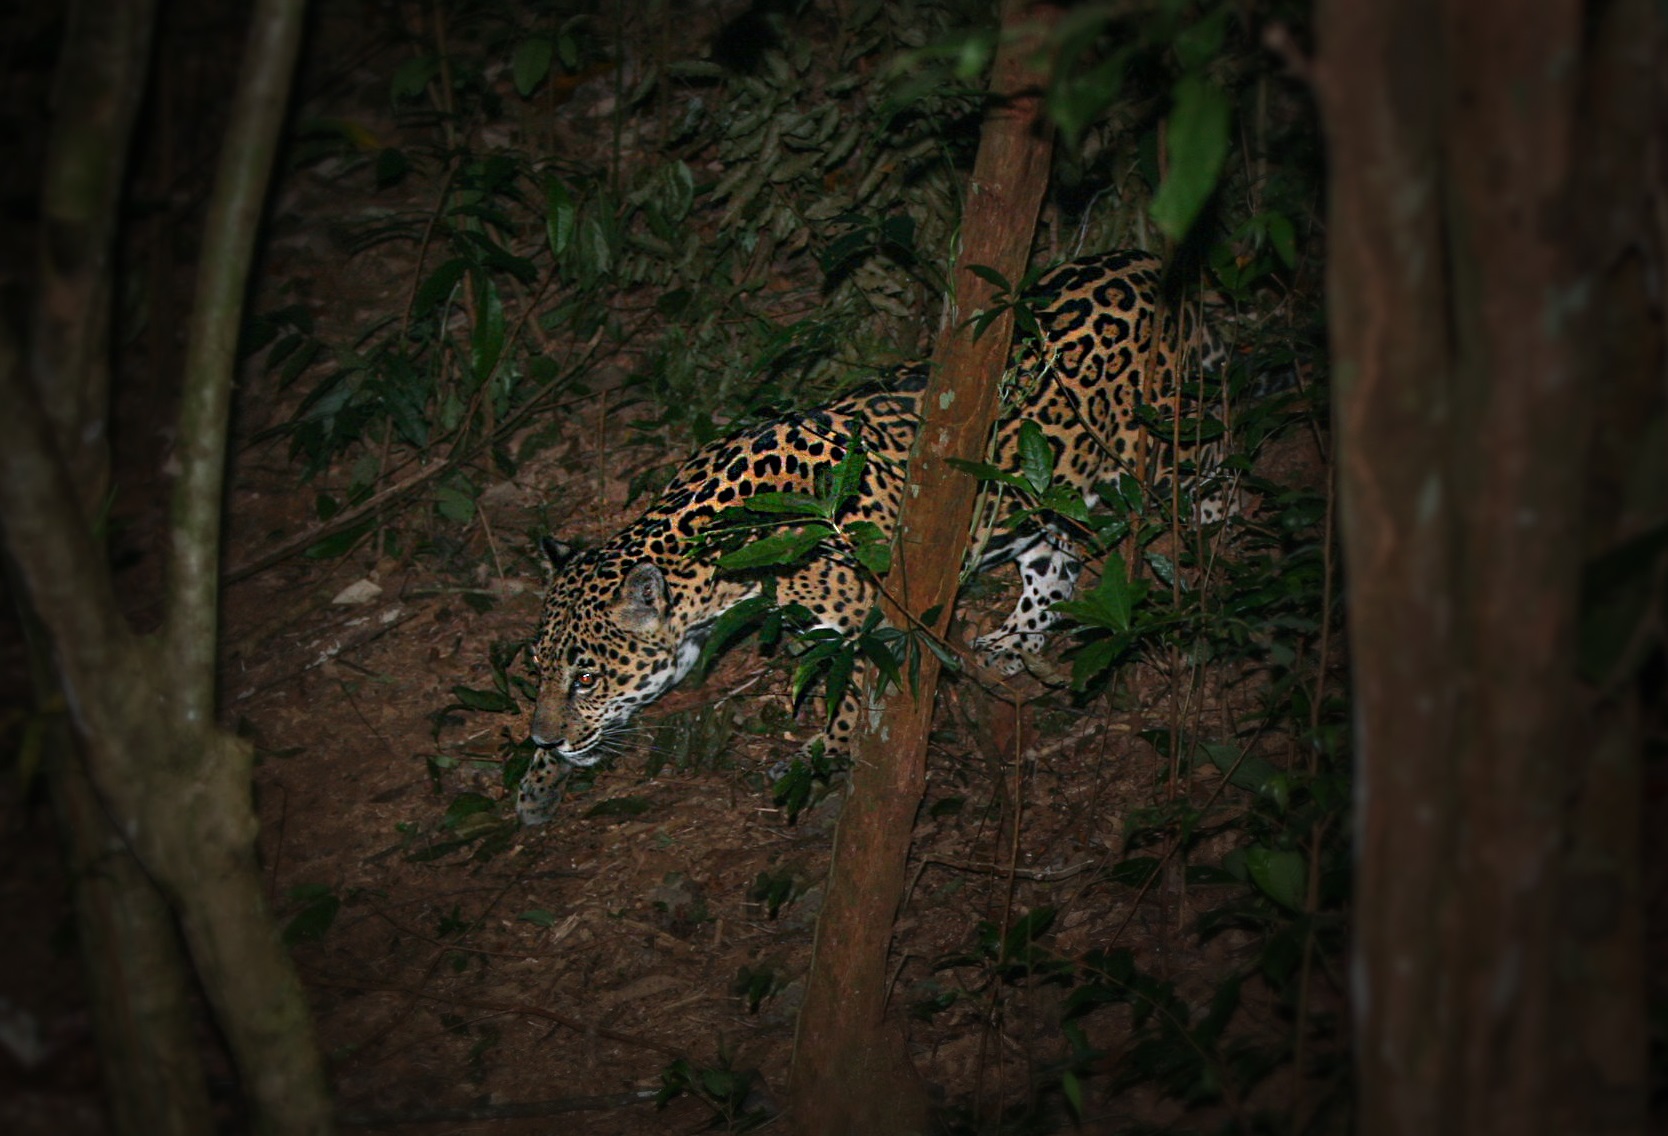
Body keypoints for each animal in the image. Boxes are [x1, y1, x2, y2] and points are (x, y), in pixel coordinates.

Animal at [519, 250, 1229, 823]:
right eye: (541, 670)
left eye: (587, 677)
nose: (544, 738)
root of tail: (1147, 262)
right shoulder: (690, 641)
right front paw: (537, 781)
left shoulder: (871, 624)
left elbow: (854, 700)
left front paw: (817, 761)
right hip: (1040, 495)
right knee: (1054, 563)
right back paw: (1013, 640)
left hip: (1166, 445)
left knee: (1217, 472)